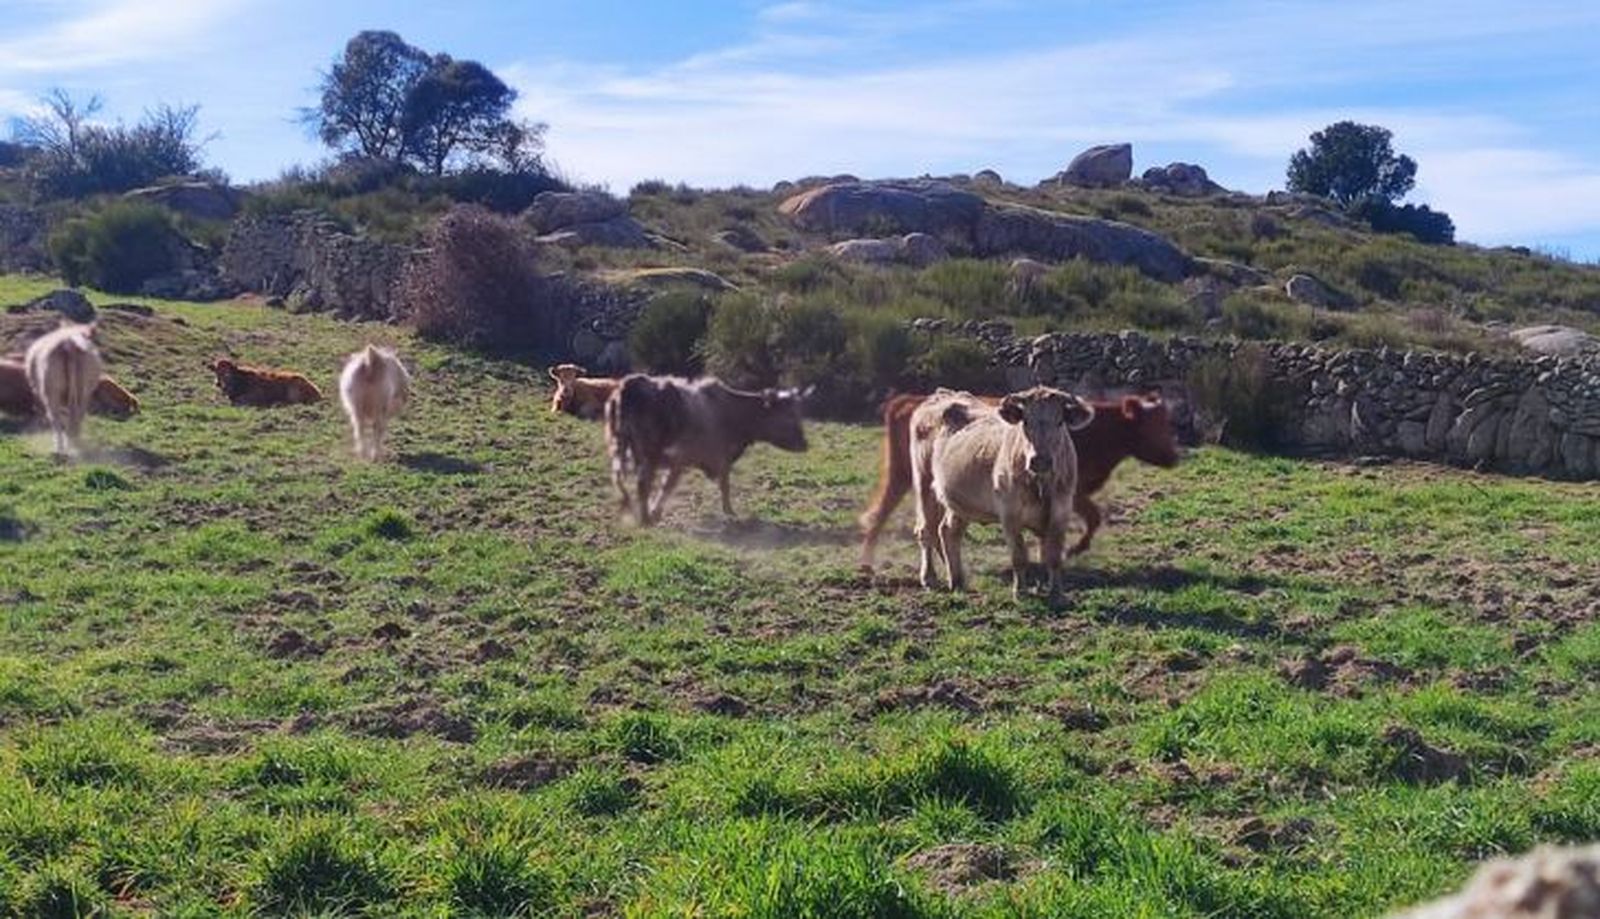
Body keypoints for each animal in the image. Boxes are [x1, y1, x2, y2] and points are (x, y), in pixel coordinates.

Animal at [24, 322, 103, 458]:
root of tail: (69, 343)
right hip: (83, 390)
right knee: (76, 417)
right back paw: (74, 443)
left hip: (51, 393)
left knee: (56, 419)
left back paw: (60, 448)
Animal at [604, 375, 809, 525]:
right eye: (788, 416)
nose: (805, 445)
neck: (731, 410)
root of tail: (629, 386)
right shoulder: (716, 458)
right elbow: (722, 485)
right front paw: (730, 513)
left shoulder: (684, 462)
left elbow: (668, 485)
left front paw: (656, 512)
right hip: (648, 455)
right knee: (642, 484)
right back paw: (644, 518)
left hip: (620, 447)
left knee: (620, 480)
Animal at [859, 392, 1181, 569]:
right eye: (1152, 425)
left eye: (1167, 422)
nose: (1174, 457)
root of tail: (911, 400)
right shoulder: (1074, 493)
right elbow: (1093, 517)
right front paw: (1073, 549)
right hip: (912, 477)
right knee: (895, 517)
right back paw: (869, 565)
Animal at [910, 386, 1095, 599]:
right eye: (1026, 421)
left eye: (1060, 422)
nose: (1040, 460)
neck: (1040, 483)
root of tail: (944, 394)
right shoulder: (1010, 514)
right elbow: (1019, 555)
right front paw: (1020, 592)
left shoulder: (1060, 512)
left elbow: (1053, 556)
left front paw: (1056, 593)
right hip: (923, 483)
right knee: (926, 531)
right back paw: (929, 577)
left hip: (959, 501)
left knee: (948, 531)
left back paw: (957, 580)